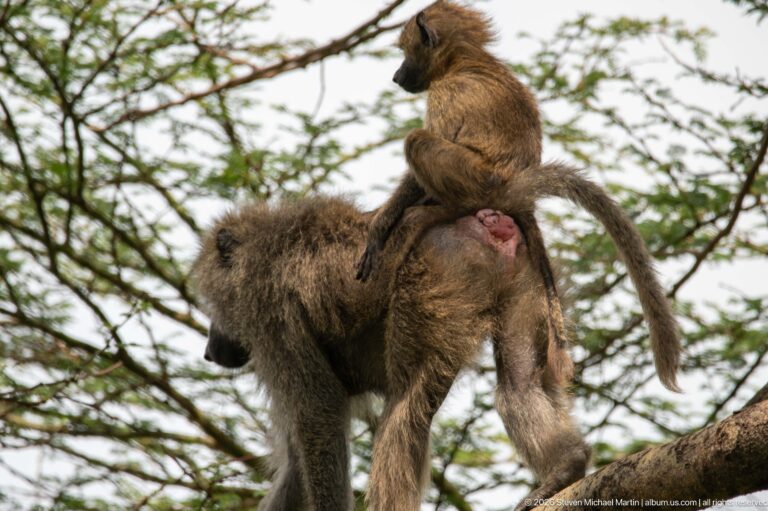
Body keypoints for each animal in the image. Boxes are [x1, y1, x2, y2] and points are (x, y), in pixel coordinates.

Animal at [193, 196, 592, 511]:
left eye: (216, 310)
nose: (210, 351)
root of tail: (479, 219)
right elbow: (296, 460)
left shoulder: (267, 314)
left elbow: (320, 410)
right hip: (524, 275)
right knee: (518, 383)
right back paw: (566, 468)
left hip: (439, 270)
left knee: (407, 404)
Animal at [355, 1, 682, 391]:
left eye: (406, 53)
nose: (396, 76)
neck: (463, 60)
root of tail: (516, 188)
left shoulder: (447, 92)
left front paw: (380, 227)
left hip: (480, 180)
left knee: (418, 141)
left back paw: (446, 207)